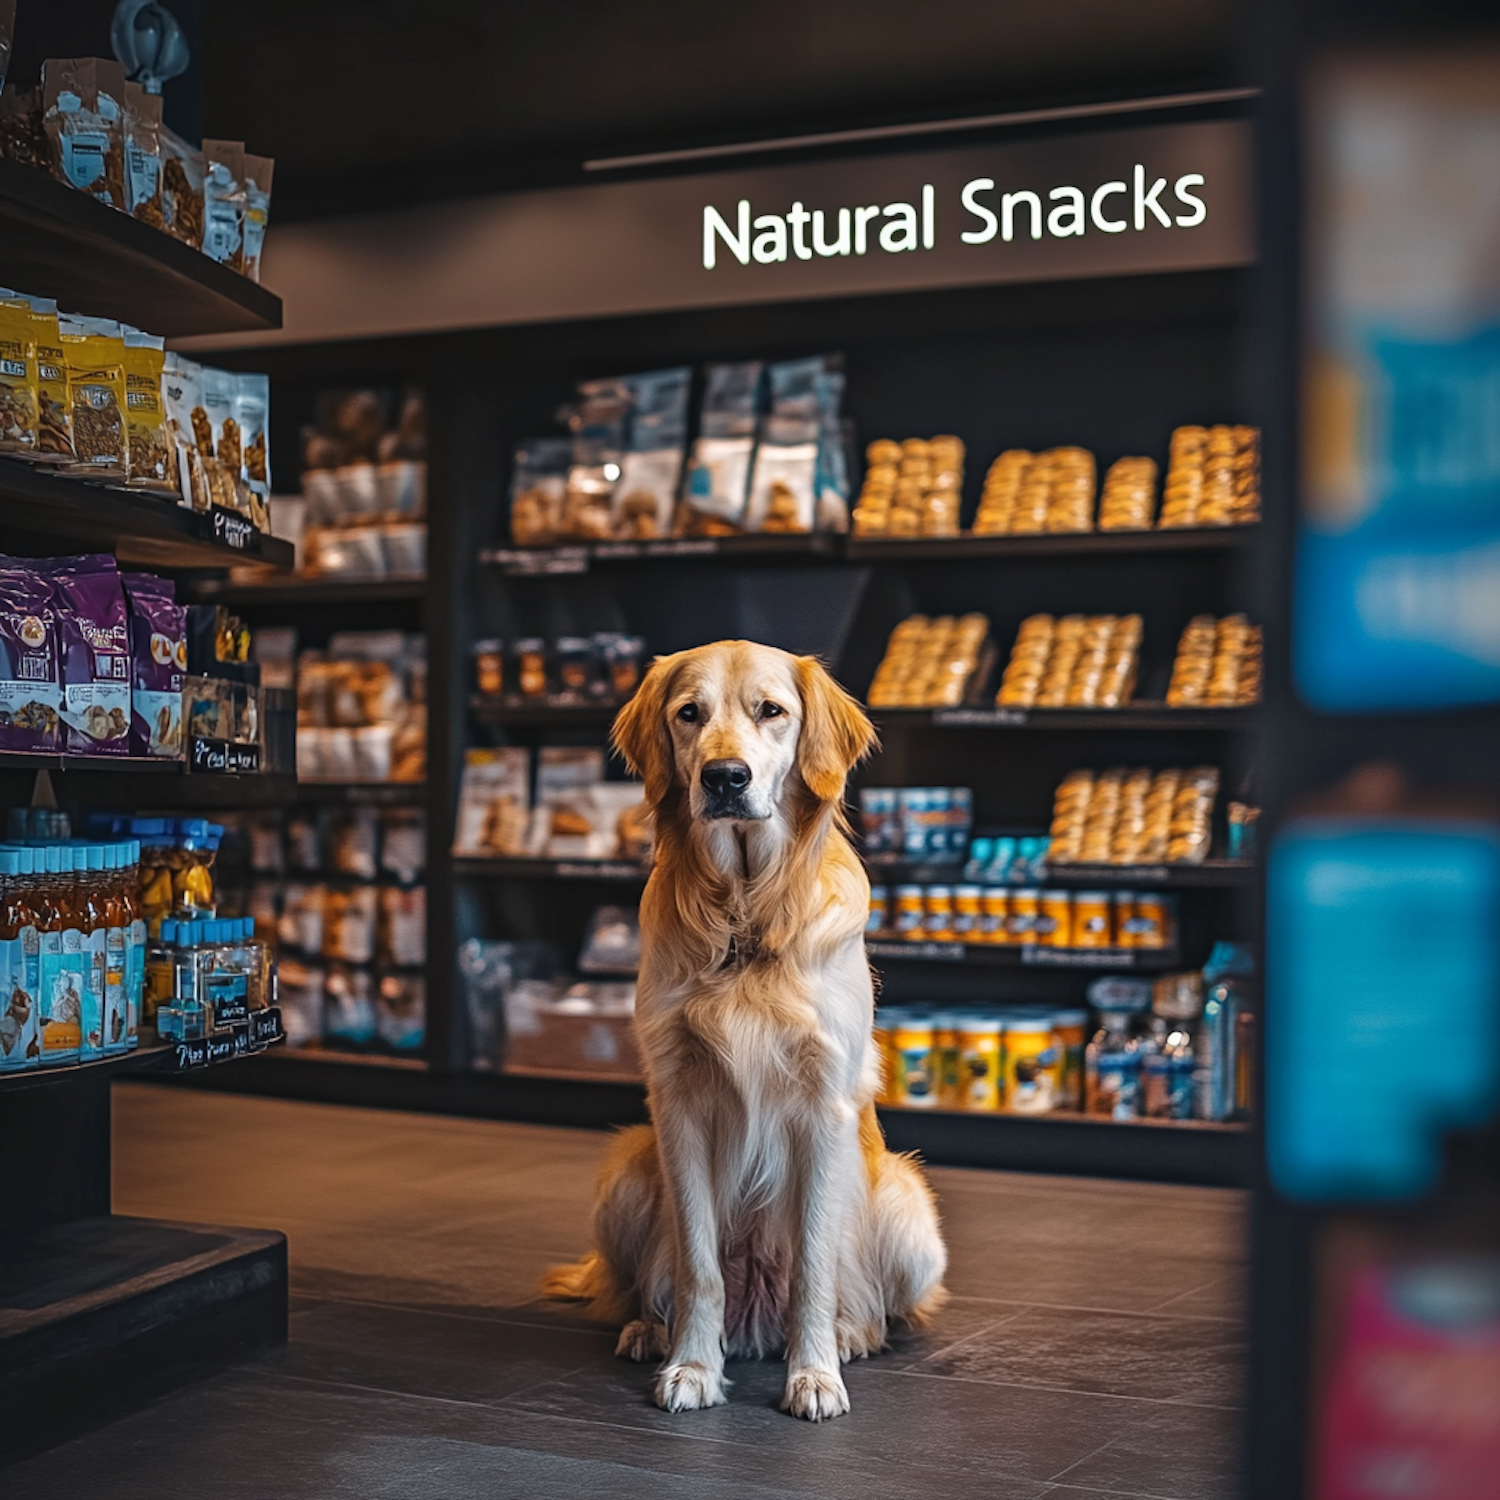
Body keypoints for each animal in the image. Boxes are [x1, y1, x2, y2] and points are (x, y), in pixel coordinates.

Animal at [543, 642, 948, 1416]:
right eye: (688, 713)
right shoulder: (677, 1102)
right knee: (645, 1286)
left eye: (772, 711)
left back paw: (849, 1335)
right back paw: (650, 1329)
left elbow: (815, 1267)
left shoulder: (823, 1106)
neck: (745, 914)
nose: (725, 777)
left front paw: (815, 1375)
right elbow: (699, 1265)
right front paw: (693, 1367)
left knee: (879, 1308)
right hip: (628, 1169)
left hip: (910, 1212)